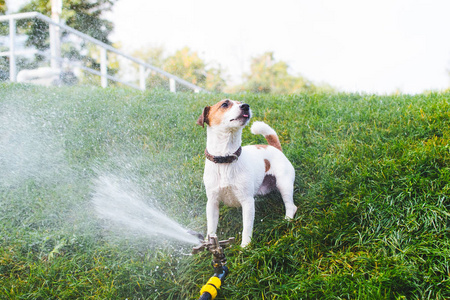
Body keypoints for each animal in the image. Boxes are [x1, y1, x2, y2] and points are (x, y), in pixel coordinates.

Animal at [196, 99, 296, 247]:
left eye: (241, 102)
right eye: (225, 104)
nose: (246, 106)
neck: (225, 160)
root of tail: (274, 147)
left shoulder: (247, 202)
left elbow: (247, 227)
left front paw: (245, 246)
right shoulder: (212, 202)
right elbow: (212, 227)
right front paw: (210, 244)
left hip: (284, 184)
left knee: (291, 205)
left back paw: (287, 220)